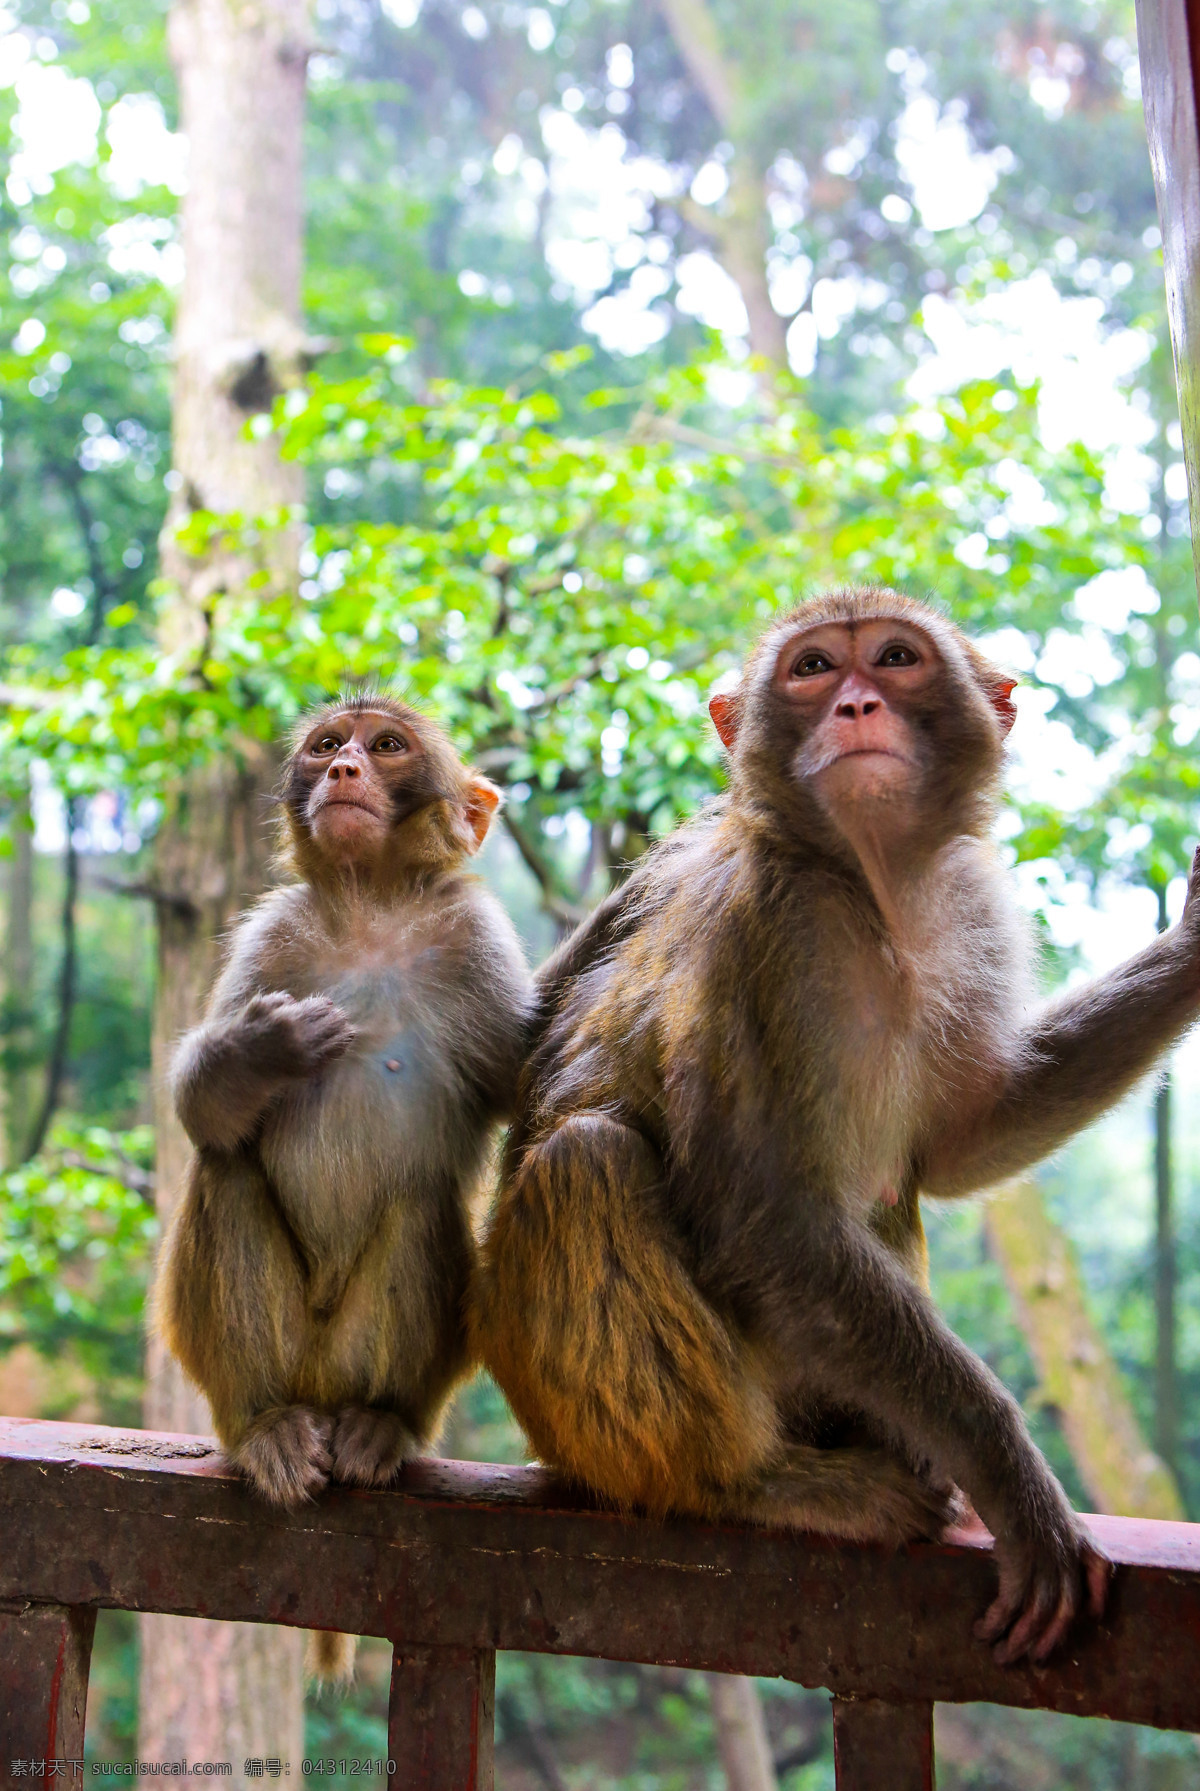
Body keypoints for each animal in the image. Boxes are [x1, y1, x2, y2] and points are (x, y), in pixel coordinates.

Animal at [157, 691, 533, 1669]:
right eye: (329, 743)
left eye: (388, 745)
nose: (343, 770)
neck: (372, 905)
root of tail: (322, 1387)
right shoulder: (271, 933)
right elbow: (199, 1111)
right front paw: (259, 1052)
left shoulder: (478, 943)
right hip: (273, 1353)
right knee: (228, 1168)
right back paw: (266, 1428)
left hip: (373, 1353)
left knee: (421, 1203)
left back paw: (380, 1423)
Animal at [472, 587, 1200, 1662]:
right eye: (813, 668)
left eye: (896, 658)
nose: (857, 704)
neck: (869, 880)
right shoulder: (771, 929)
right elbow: (771, 1221)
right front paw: (1011, 1474)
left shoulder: (967, 902)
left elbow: (960, 1140)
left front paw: (1194, 943)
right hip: (571, 1413)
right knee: (586, 1161)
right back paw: (752, 1483)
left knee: (887, 1192)